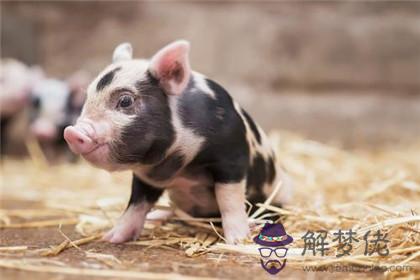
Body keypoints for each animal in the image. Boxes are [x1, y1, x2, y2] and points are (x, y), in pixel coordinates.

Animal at [65, 40, 292, 244]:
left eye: (125, 101)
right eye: (87, 98)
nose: (71, 132)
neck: (179, 165)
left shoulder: (233, 155)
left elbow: (229, 199)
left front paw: (238, 240)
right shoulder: (146, 177)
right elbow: (136, 205)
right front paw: (110, 238)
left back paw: (255, 224)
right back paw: (156, 217)